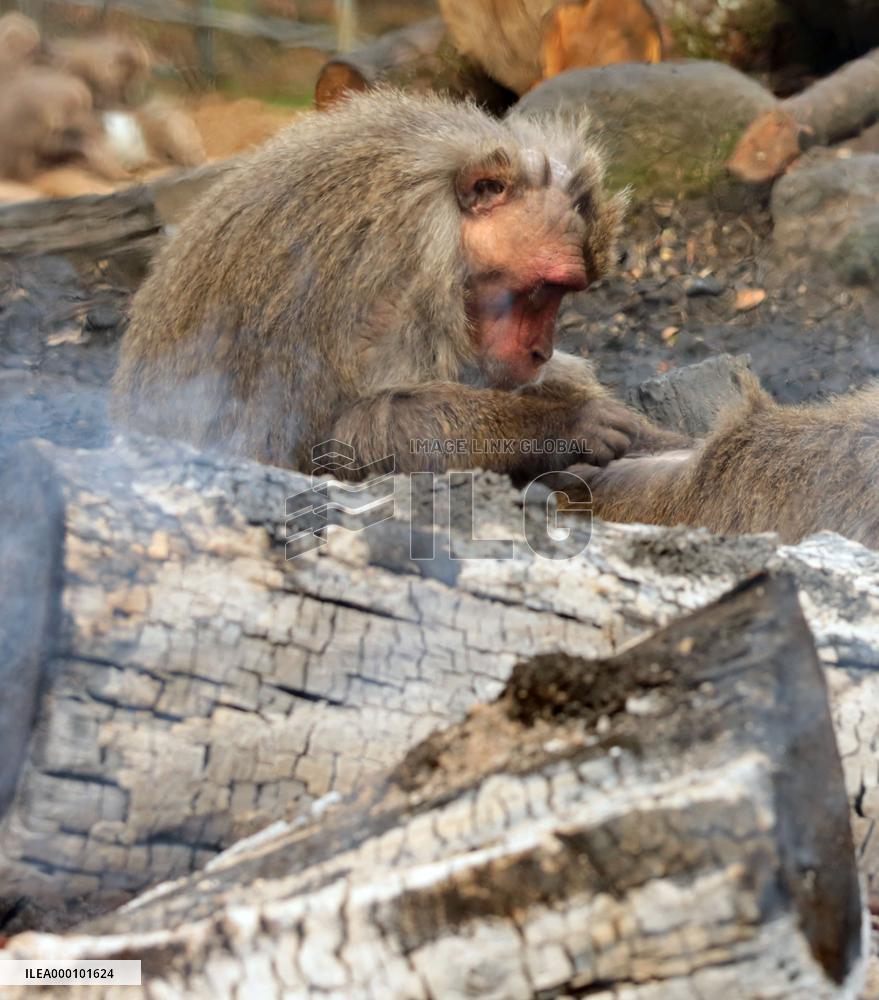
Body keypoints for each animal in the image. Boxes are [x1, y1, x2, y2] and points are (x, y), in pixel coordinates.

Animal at [112, 89, 684, 480]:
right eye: (541, 289)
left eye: (563, 293)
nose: (540, 350)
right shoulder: (401, 273)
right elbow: (359, 431)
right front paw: (566, 424)